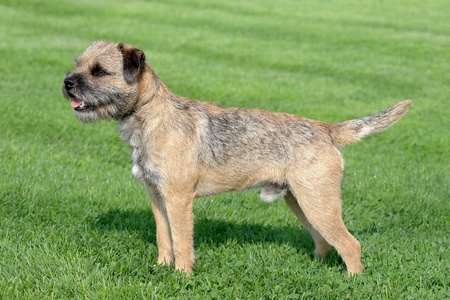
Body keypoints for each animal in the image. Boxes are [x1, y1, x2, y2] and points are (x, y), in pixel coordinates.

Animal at [62, 41, 412, 276]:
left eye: (99, 71)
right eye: (78, 64)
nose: (67, 82)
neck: (151, 117)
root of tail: (325, 129)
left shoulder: (178, 199)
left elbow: (182, 241)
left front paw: (181, 275)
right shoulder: (157, 197)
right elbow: (164, 238)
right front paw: (161, 267)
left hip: (318, 201)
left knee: (350, 243)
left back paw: (353, 281)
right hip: (302, 201)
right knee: (324, 240)